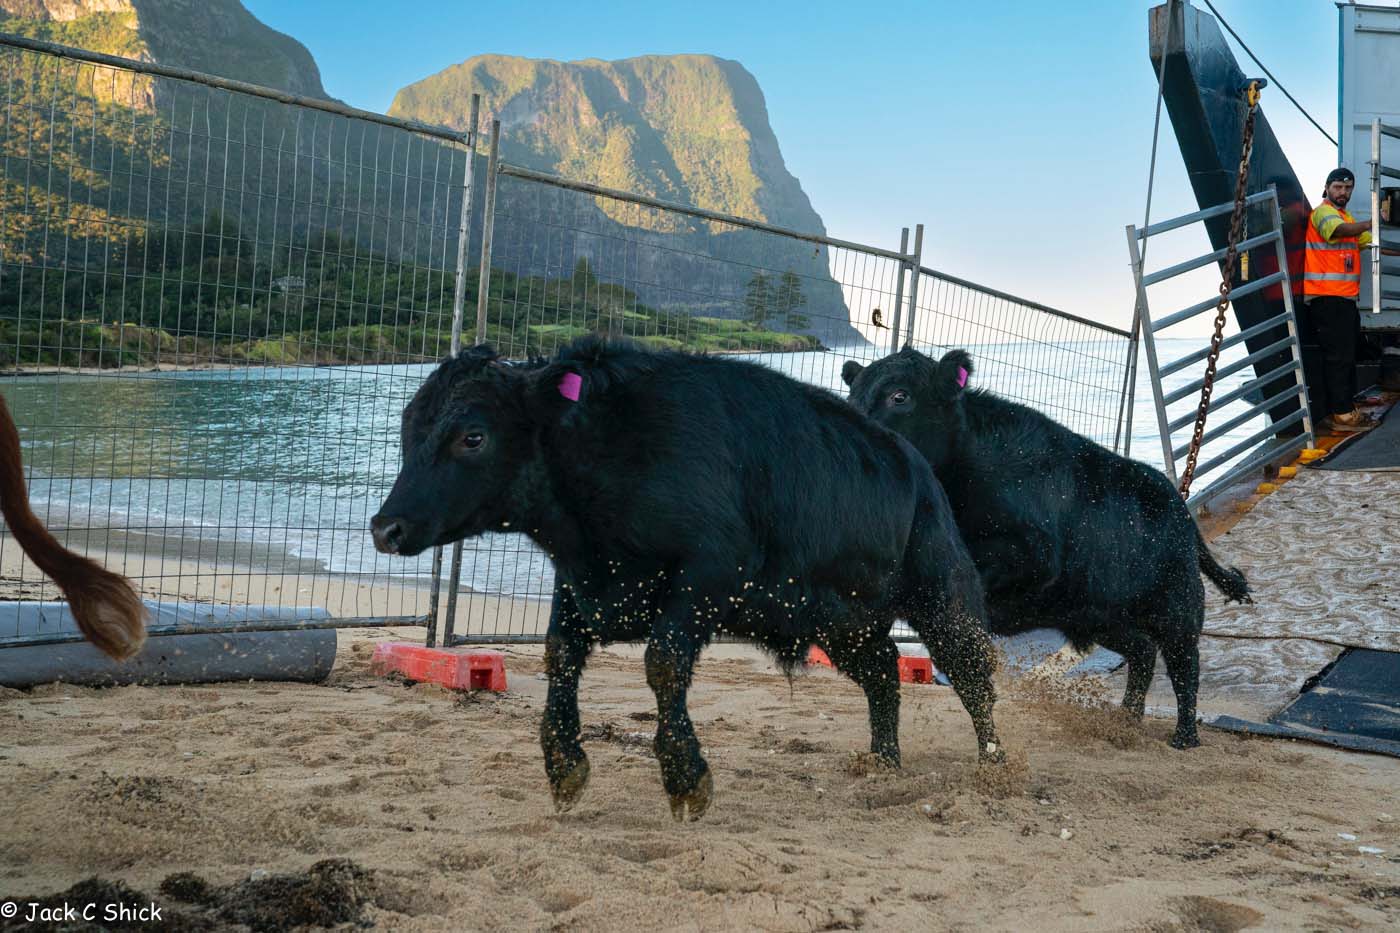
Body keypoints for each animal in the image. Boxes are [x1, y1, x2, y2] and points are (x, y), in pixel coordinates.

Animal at [371, 337, 1003, 821]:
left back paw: (994, 768)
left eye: (472, 435)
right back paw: (883, 763)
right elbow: (560, 655)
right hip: (844, 622)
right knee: (883, 675)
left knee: (974, 677)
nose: (385, 528)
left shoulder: (708, 578)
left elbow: (664, 663)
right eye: (407, 427)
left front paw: (686, 778)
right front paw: (565, 769)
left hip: (941, 600)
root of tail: (917, 468)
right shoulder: (581, 584)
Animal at [842, 347, 1252, 750]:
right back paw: (1126, 719)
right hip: (1097, 616)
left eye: (900, 396)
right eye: (852, 395)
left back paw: (1184, 736)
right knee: (1143, 651)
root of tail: (1177, 505)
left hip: (1177, 605)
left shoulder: (1033, 555)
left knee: (1185, 665)